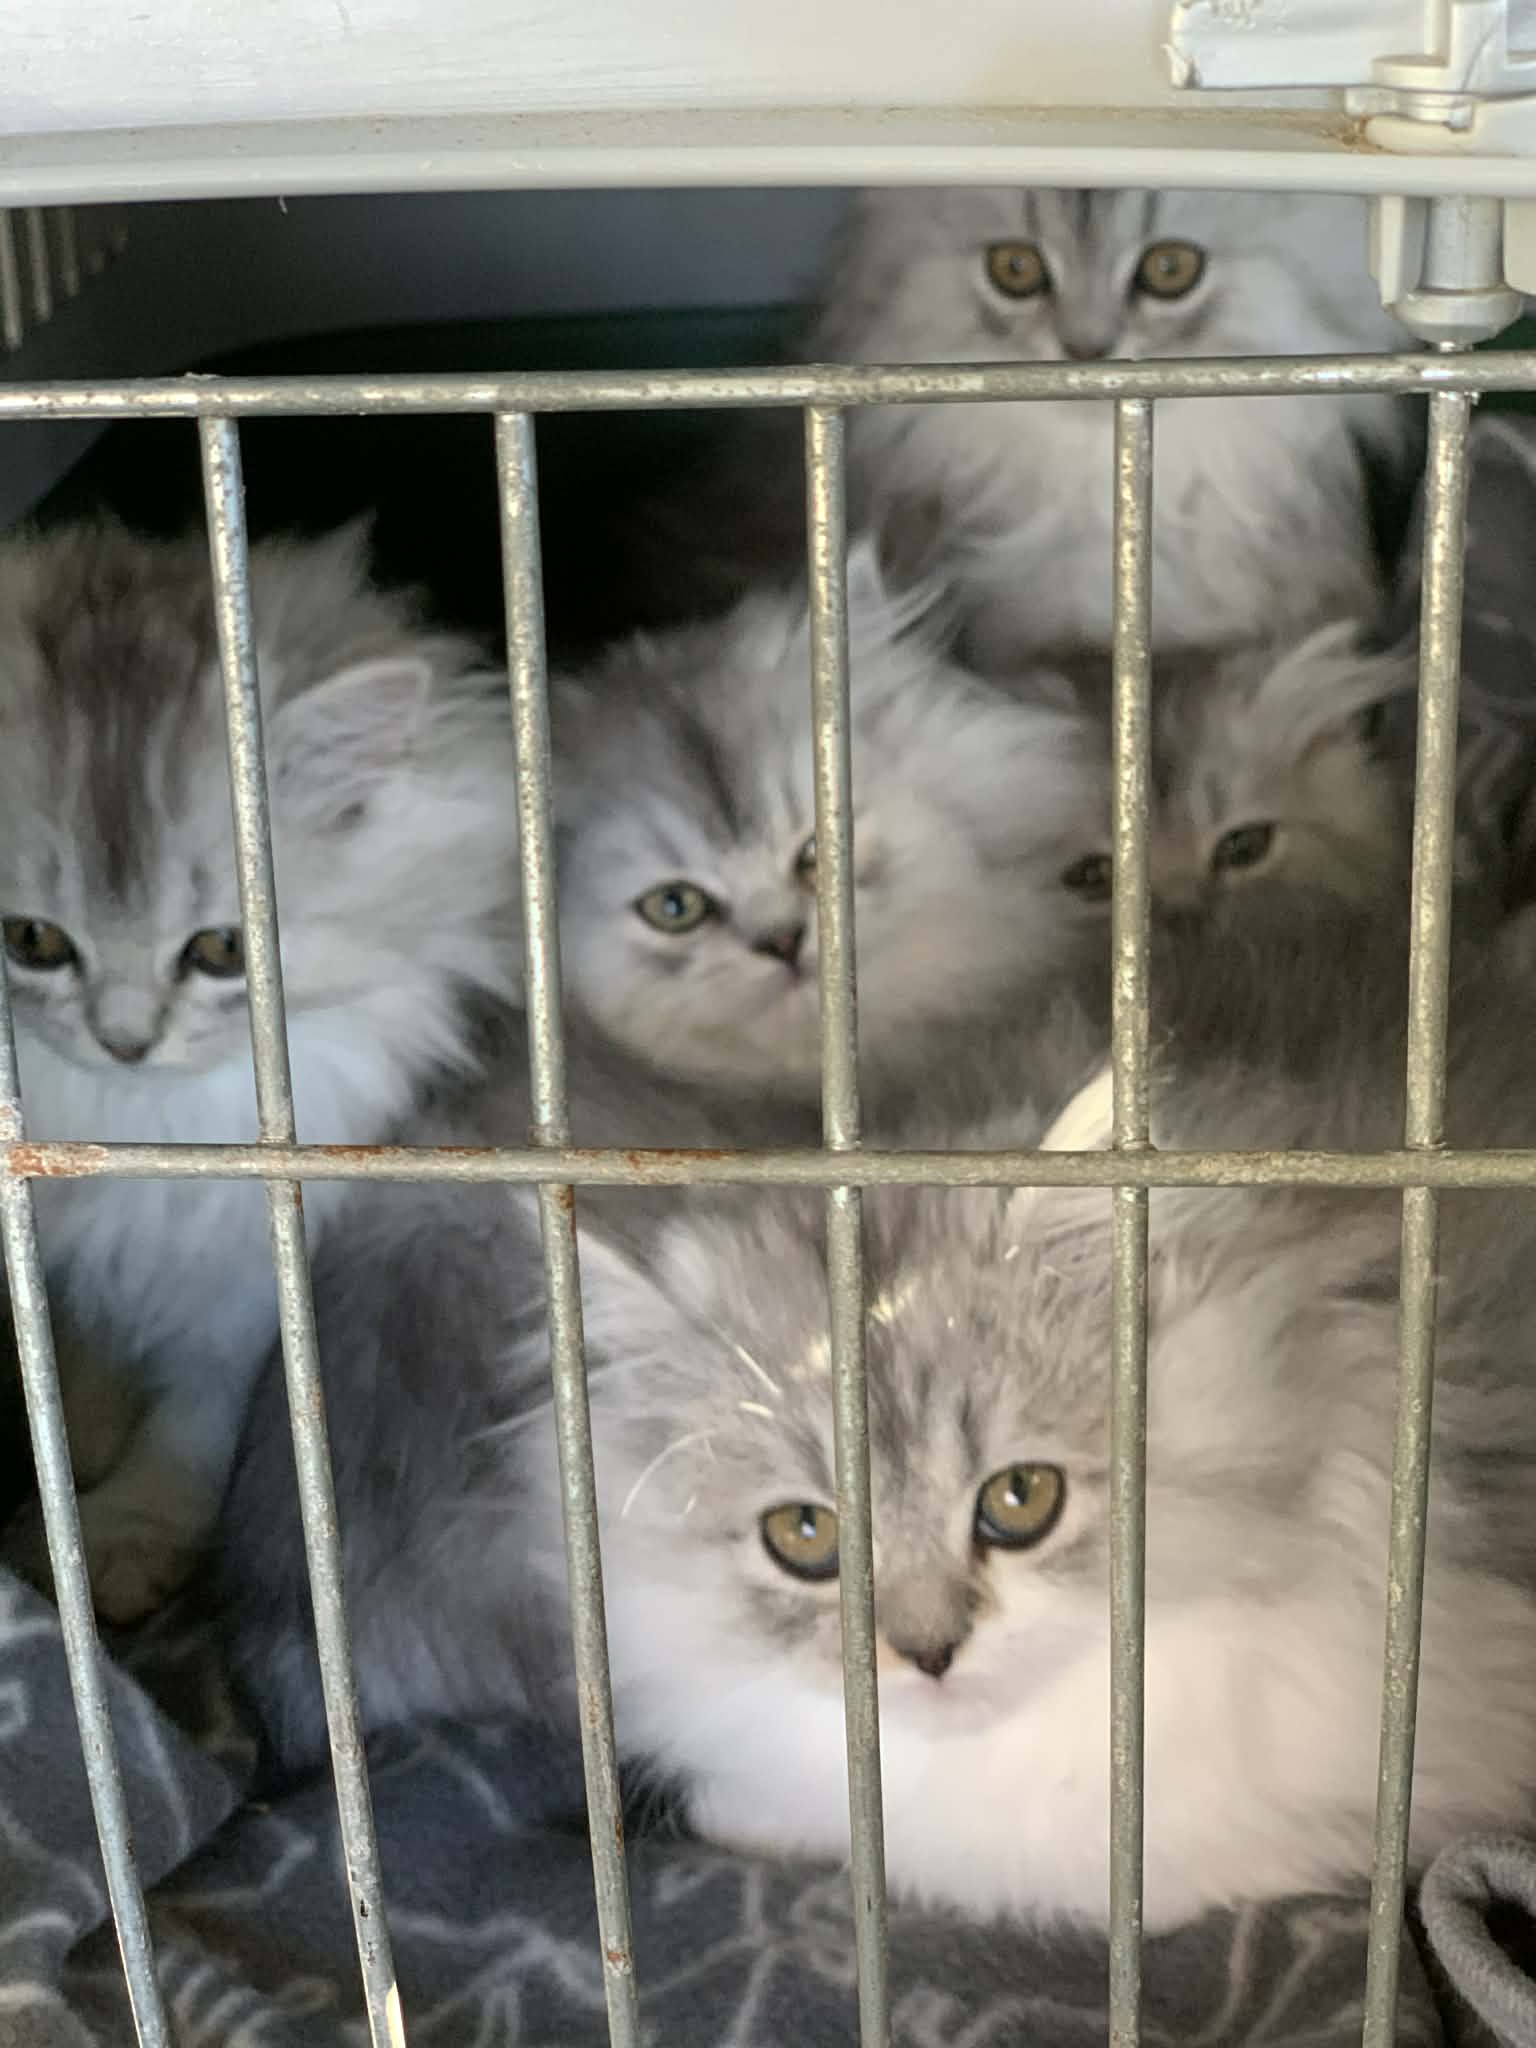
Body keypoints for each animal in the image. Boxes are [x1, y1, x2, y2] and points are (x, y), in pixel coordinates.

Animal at [0, 519, 522, 1623]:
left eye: (220, 953)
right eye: (32, 941)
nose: (124, 1039)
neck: (144, 1128)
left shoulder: (244, 1286)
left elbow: (192, 1419)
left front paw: (126, 1531)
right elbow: (79, 1338)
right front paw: (80, 1427)